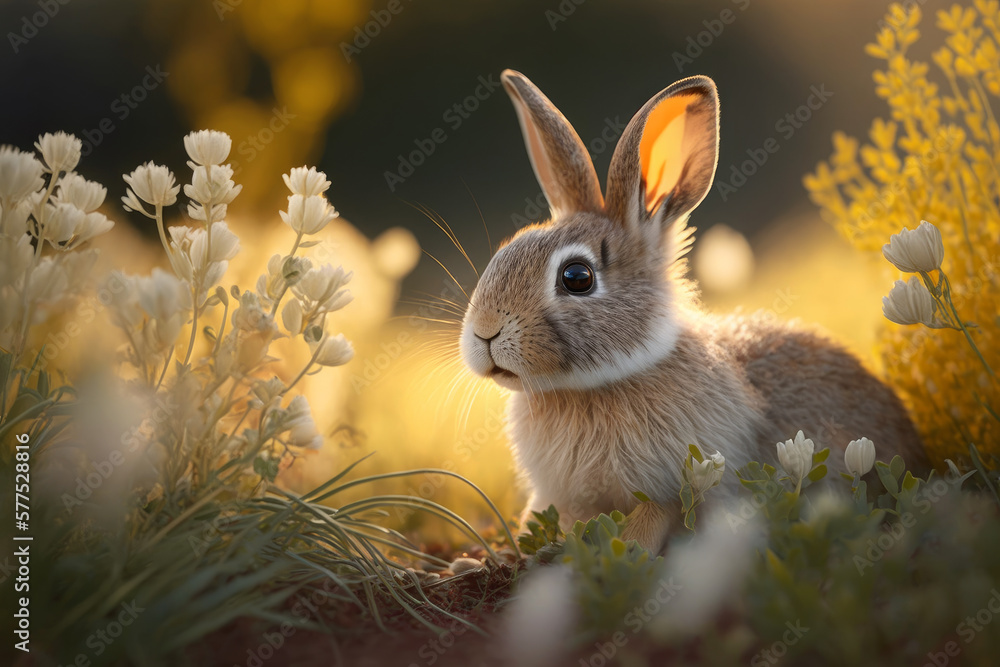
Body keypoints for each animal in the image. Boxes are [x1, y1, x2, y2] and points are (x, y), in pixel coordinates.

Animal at [459, 69, 926, 554]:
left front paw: (628, 550)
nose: (484, 332)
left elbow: (653, 518)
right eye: (504, 252)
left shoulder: (676, 481)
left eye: (576, 277)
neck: (591, 385)